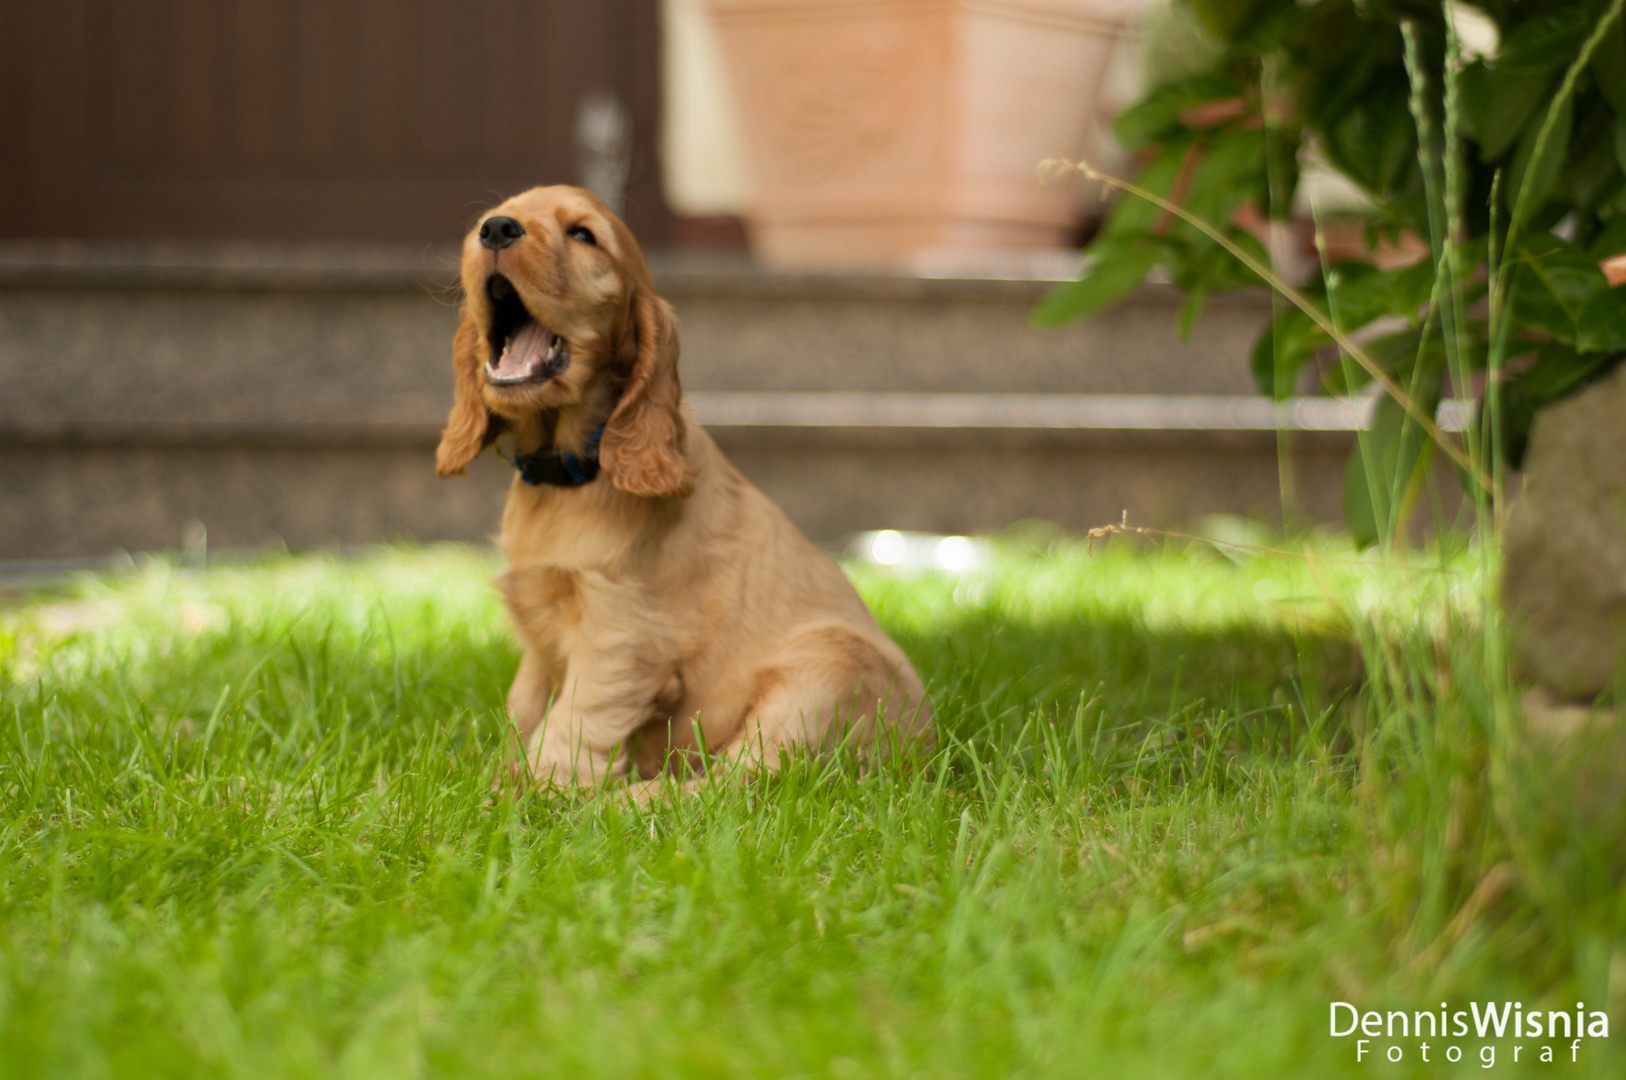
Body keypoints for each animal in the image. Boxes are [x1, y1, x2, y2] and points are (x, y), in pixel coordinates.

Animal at [439, 187, 936, 793]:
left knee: (731, 784)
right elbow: (525, 707)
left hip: (825, 671)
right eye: (495, 216)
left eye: (583, 235)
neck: (572, 471)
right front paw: (487, 779)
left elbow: (573, 723)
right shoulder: (539, 629)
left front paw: (537, 794)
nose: (496, 229)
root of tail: (923, 755)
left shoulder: (621, 634)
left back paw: (625, 800)